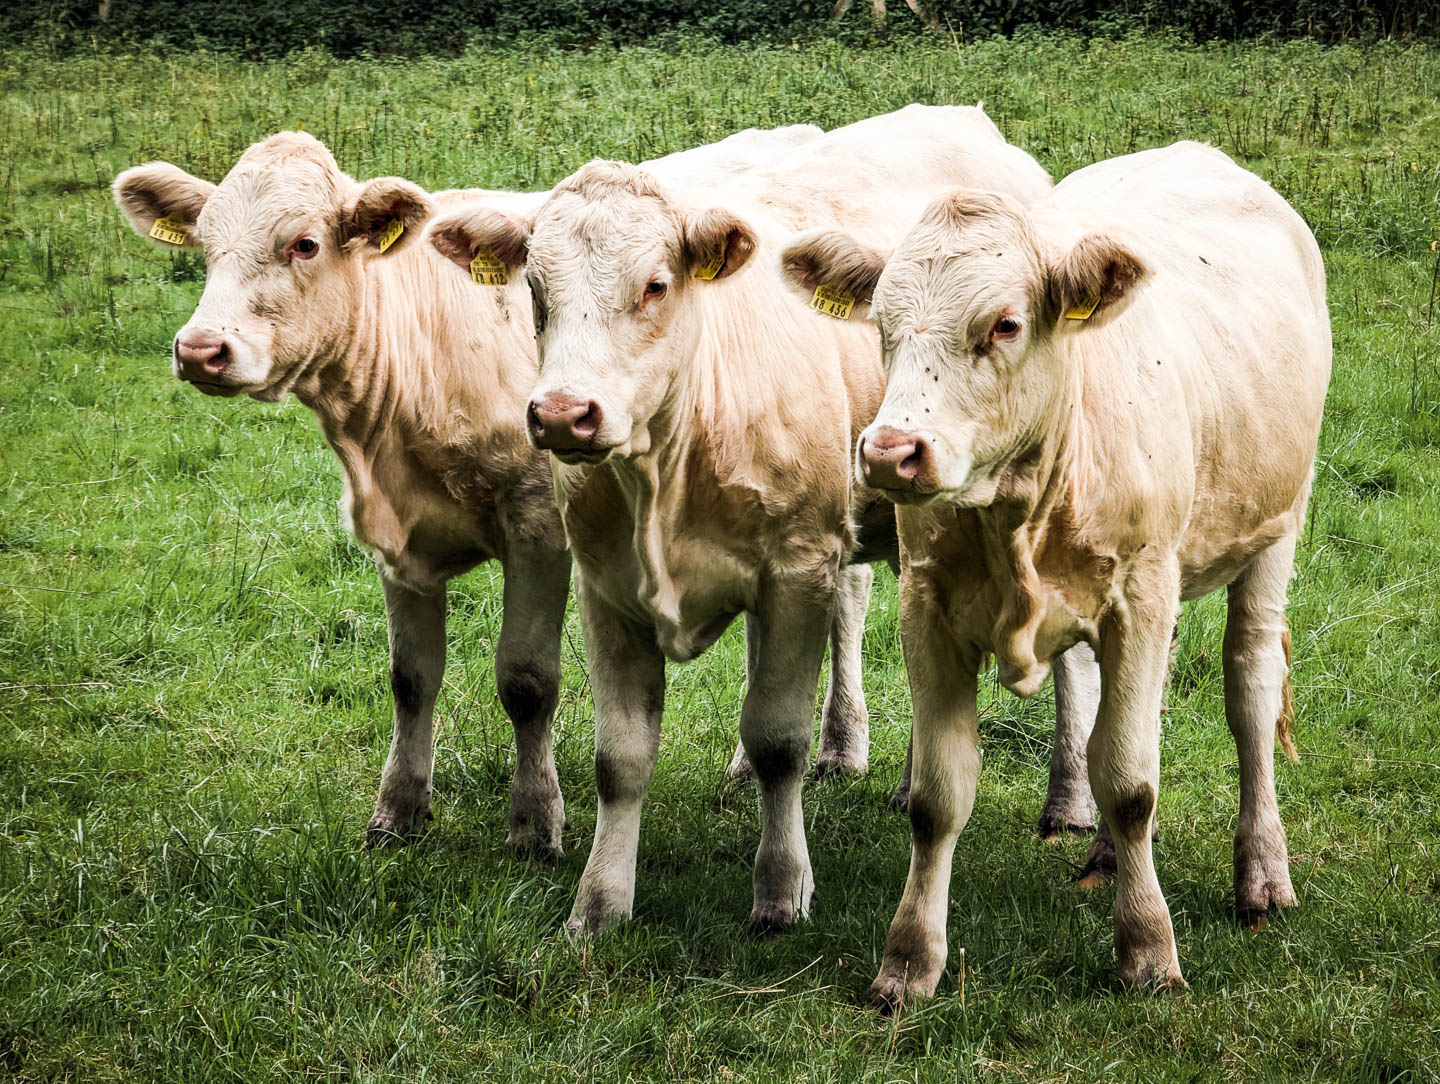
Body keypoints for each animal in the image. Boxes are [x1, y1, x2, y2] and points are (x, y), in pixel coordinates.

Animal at [110, 122, 823, 857]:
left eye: (304, 243)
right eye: (204, 241)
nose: (200, 350)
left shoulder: (540, 528)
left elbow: (527, 680)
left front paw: (535, 822)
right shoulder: (397, 540)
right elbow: (410, 677)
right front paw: (397, 810)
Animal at [783, 139, 1330, 1001]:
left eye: (1004, 324)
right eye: (881, 325)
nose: (890, 452)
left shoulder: (1140, 596)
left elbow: (1132, 783)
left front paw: (1148, 949)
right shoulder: (928, 607)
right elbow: (939, 796)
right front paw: (908, 961)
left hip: (1275, 529)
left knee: (1249, 688)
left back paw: (1262, 873)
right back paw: (1106, 854)